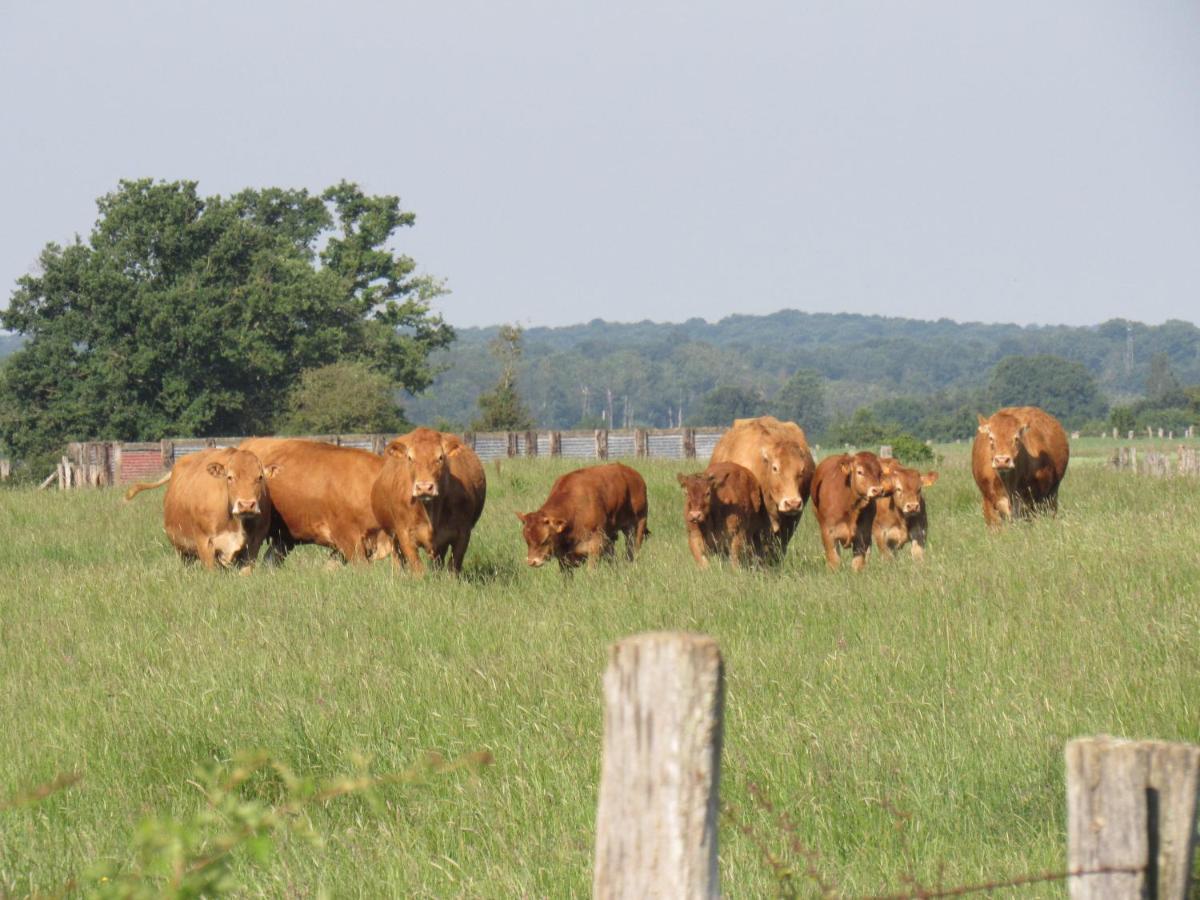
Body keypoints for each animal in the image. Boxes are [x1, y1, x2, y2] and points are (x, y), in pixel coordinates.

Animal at [123, 448, 278, 573]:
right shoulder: (205, 543)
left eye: (260, 477)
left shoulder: (254, 543)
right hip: (182, 550)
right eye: (230, 477)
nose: (246, 505)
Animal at [374, 427, 487, 573]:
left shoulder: (463, 533)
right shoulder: (405, 534)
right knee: (397, 558)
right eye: (410, 458)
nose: (424, 487)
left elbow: (453, 566)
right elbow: (418, 568)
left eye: (440, 457)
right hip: (391, 534)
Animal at [513, 465, 648, 571]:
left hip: (638, 524)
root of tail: (634, 475)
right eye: (526, 539)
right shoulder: (563, 557)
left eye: (545, 539)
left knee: (633, 550)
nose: (532, 561)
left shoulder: (595, 545)